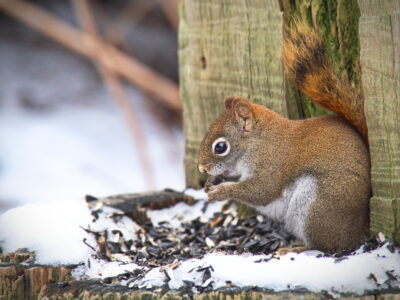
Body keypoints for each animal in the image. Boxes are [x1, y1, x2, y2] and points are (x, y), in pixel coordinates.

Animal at [198, 22, 370, 254]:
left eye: (220, 147)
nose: (202, 169)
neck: (258, 142)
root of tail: (361, 230)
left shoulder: (272, 164)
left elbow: (261, 190)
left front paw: (221, 191)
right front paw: (212, 182)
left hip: (317, 207)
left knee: (327, 245)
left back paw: (296, 249)